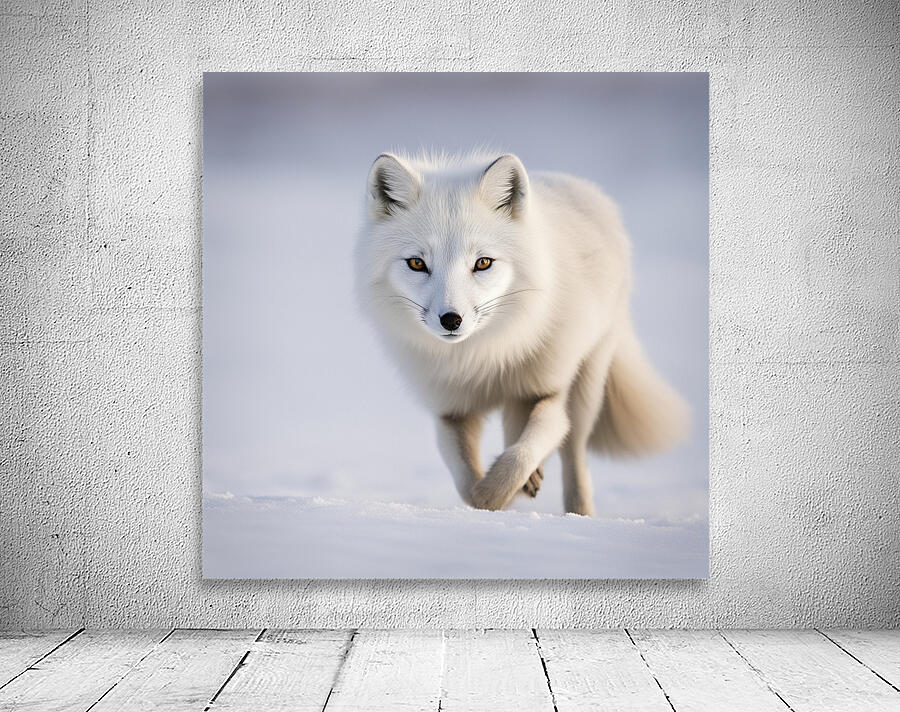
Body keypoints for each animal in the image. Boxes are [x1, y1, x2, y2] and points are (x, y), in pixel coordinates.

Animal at [355, 151, 690, 516]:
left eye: (483, 263)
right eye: (417, 264)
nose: (451, 320)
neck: (483, 357)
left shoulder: (548, 392)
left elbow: (522, 454)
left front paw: (503, 490)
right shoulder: (451, 410)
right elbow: (468, 485)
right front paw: (492, 497)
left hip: (587, 381)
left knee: (573, 451)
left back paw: (579, 511)